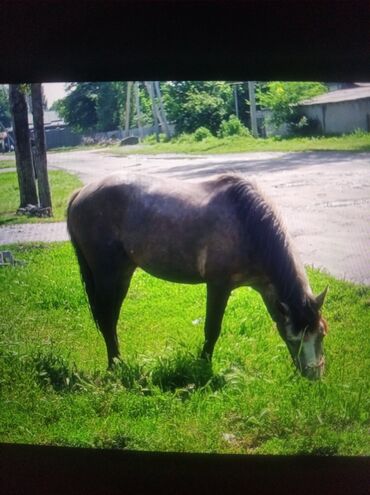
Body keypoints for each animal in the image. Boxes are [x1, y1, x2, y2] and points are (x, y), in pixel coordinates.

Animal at [68, 172, 328, 382]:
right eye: (293, 338)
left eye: (322, 333)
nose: (314, 376)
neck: (247, 224)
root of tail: (81, 193)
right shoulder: (218, 285)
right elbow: (212, 328)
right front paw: (203, 366)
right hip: (108, 275)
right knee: (107, 318)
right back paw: (115, 366)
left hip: (122, 274)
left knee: (110, 318)